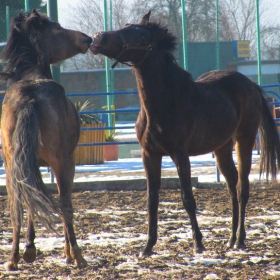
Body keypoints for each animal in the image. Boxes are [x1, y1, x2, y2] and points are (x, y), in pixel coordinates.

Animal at [0, 9, 92, 270]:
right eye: (58, 28)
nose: (87, 39)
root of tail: (28, 98)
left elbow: (32, 202)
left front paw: (30, 249)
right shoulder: (66, 162)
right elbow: (62, 202)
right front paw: (68, 252)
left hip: (11, 167)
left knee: (17, 207)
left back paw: (13, 259)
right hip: (63, 163)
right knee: (65, 203)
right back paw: (77, 256)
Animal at [91, 10, 280, 256]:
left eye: (140, 37)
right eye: (124, 26)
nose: (99, 38)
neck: (164, 102)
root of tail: (251, 86)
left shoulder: (180, 155)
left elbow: (188, 198)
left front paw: (198, 243)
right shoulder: (149, 155)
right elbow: (152, 199)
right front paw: (147, 246)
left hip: (244, 140)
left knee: (242, 188)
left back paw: (239, 239)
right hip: (222, 148)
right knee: (231, 186)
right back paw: (229, 240)